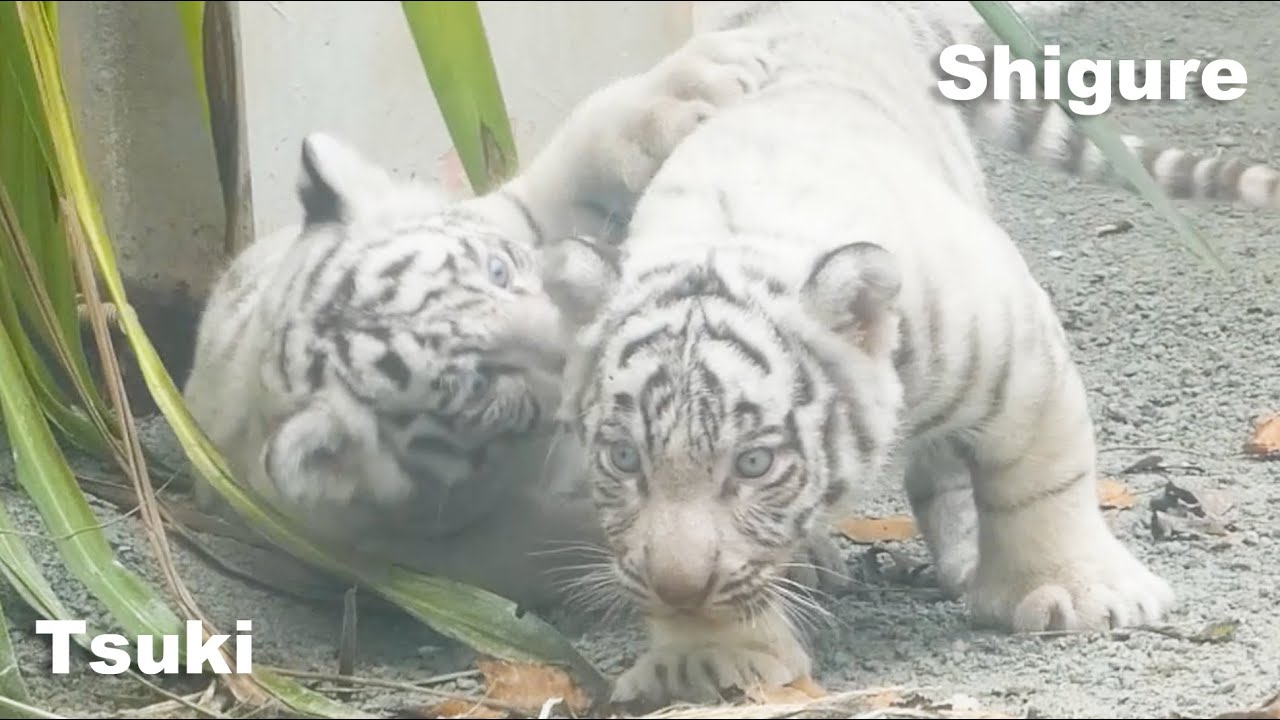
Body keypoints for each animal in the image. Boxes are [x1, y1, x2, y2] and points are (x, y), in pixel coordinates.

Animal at [178, 25, 785, 609]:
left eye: (498, 270)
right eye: (479, 385)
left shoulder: (520, 212)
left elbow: (580, 150)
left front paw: (707, 80)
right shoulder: (444, 549)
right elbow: (563, 541)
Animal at [536, 0, 1280, 709]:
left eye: (753, 464)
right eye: (624, 459)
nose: (679, 586)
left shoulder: (1018, 347)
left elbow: (1043, 484)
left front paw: (1079, 595)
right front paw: (706, 660)